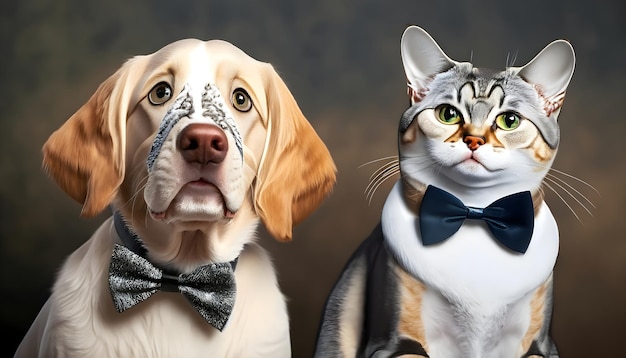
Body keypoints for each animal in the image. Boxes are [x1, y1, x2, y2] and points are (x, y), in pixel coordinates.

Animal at [314, 25, 572, 358]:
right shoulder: (392, 343)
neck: (475, 215)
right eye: (448, 114)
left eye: (509, 120)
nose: (474, 140)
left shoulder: (539, 344)